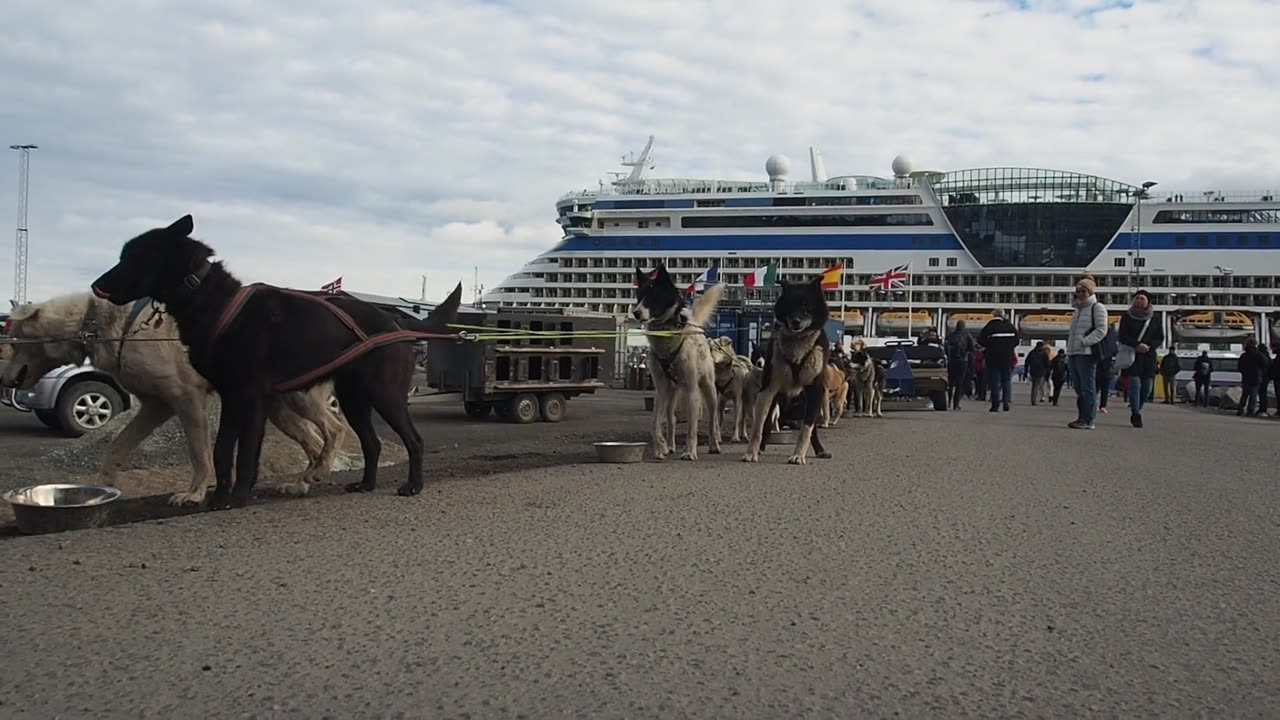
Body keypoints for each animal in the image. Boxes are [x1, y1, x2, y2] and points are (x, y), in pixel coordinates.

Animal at [94, 212, 465, 504]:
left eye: (131, 257)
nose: (96, 284)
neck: (211, 300)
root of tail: (395, 322)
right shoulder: (232, 397)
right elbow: (222, 449)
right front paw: (219, 496)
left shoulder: (251, 398)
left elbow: (245, 454)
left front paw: (236, 498)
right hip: (353, 399)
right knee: (372, 443)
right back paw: (366, 484)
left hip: (384, 395)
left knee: (414, 440)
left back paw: (413, 485)